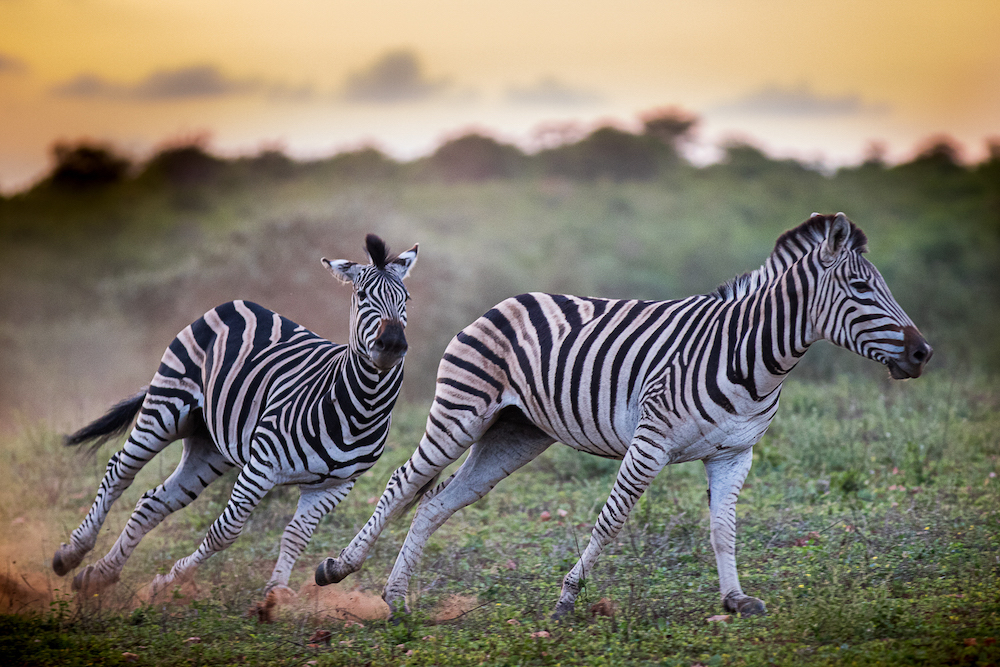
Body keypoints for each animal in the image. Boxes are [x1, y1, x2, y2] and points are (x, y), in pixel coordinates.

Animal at [53, 234, 418, 599]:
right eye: (362, 295)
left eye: (406, 298)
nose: (392, 344)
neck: (360, 411)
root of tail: (239, 303)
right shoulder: (262, 466)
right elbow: (225, 530)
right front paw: (170, 581)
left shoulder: (334, 486)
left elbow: (296, 535)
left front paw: (275, 594)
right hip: (166, 405)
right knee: (119, 471)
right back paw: (71, 554)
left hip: (209, 444)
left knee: (154, 501)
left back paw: (101, 574)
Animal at [315, 213, 932, 618]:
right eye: (860, 287)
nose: (923, 353)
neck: (754, 356)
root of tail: (505, 300)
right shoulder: (650, 442)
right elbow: (611, 520)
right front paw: (567, 597)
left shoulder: (735, 453)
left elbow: (723, 528)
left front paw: (734, 598)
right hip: (461, 411)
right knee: (404, 481)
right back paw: (339, 569)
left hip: (516, 434)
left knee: (439, 501)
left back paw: (397, 598)